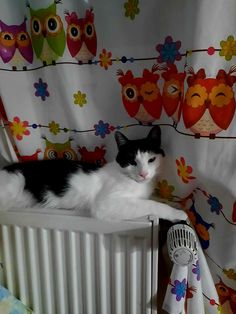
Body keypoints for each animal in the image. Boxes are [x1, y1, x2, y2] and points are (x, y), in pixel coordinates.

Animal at [0, 126, 188, 222]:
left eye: (151, 159)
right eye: (132, 162)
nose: (143, 174)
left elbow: (155, 200)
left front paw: (176, 204)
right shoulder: (107, 203)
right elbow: (152, 205)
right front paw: (178, 214)